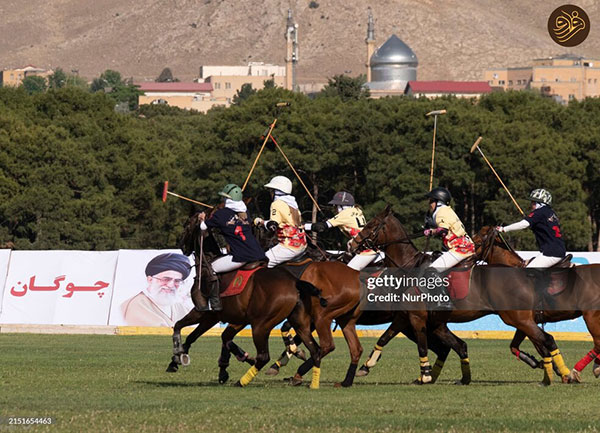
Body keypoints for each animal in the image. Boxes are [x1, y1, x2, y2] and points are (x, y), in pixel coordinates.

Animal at [166, 213, 326, 388]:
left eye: (187, 225)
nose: (181, 245)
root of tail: (295, 282)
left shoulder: (204, 313)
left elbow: (180, 327)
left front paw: (176, 357)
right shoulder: (227, 318)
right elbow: (210, 338)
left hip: (261, 325)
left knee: (264, 356)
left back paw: (242, 381)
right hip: (299, 322)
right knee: (315, 350)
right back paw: (312, 381)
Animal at [350, 206, 568, 384]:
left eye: (371, 224)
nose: (352, 244)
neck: (408, 267)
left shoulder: (417, 317)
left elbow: (422, 346)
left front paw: (425, 375)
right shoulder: (404, 317)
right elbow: (384, 338)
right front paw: (365, 367)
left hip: (516, 317)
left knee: (545, 339)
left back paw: (562, 373)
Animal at [472, 226, 600, 382]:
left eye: (478, 241)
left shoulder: (526, 321)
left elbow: (541, 346)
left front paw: (558, 371)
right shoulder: (525, 322)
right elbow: (516, 346)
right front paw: (542, 364)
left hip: (591, 316)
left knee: (598, 342)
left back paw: (577, 371)